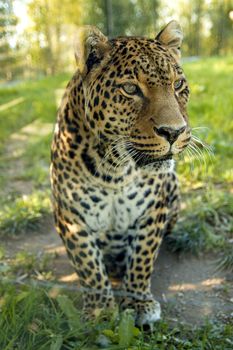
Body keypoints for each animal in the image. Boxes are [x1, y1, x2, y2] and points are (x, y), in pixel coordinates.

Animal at [50, 20, 190, 326]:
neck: (115, 170)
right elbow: (88, 265)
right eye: (130, 89)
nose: (174, 132)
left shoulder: (153, 210)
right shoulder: (70, 216)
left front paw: (138, 304)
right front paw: (101, 310)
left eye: (177, 85)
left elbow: (142, 259)